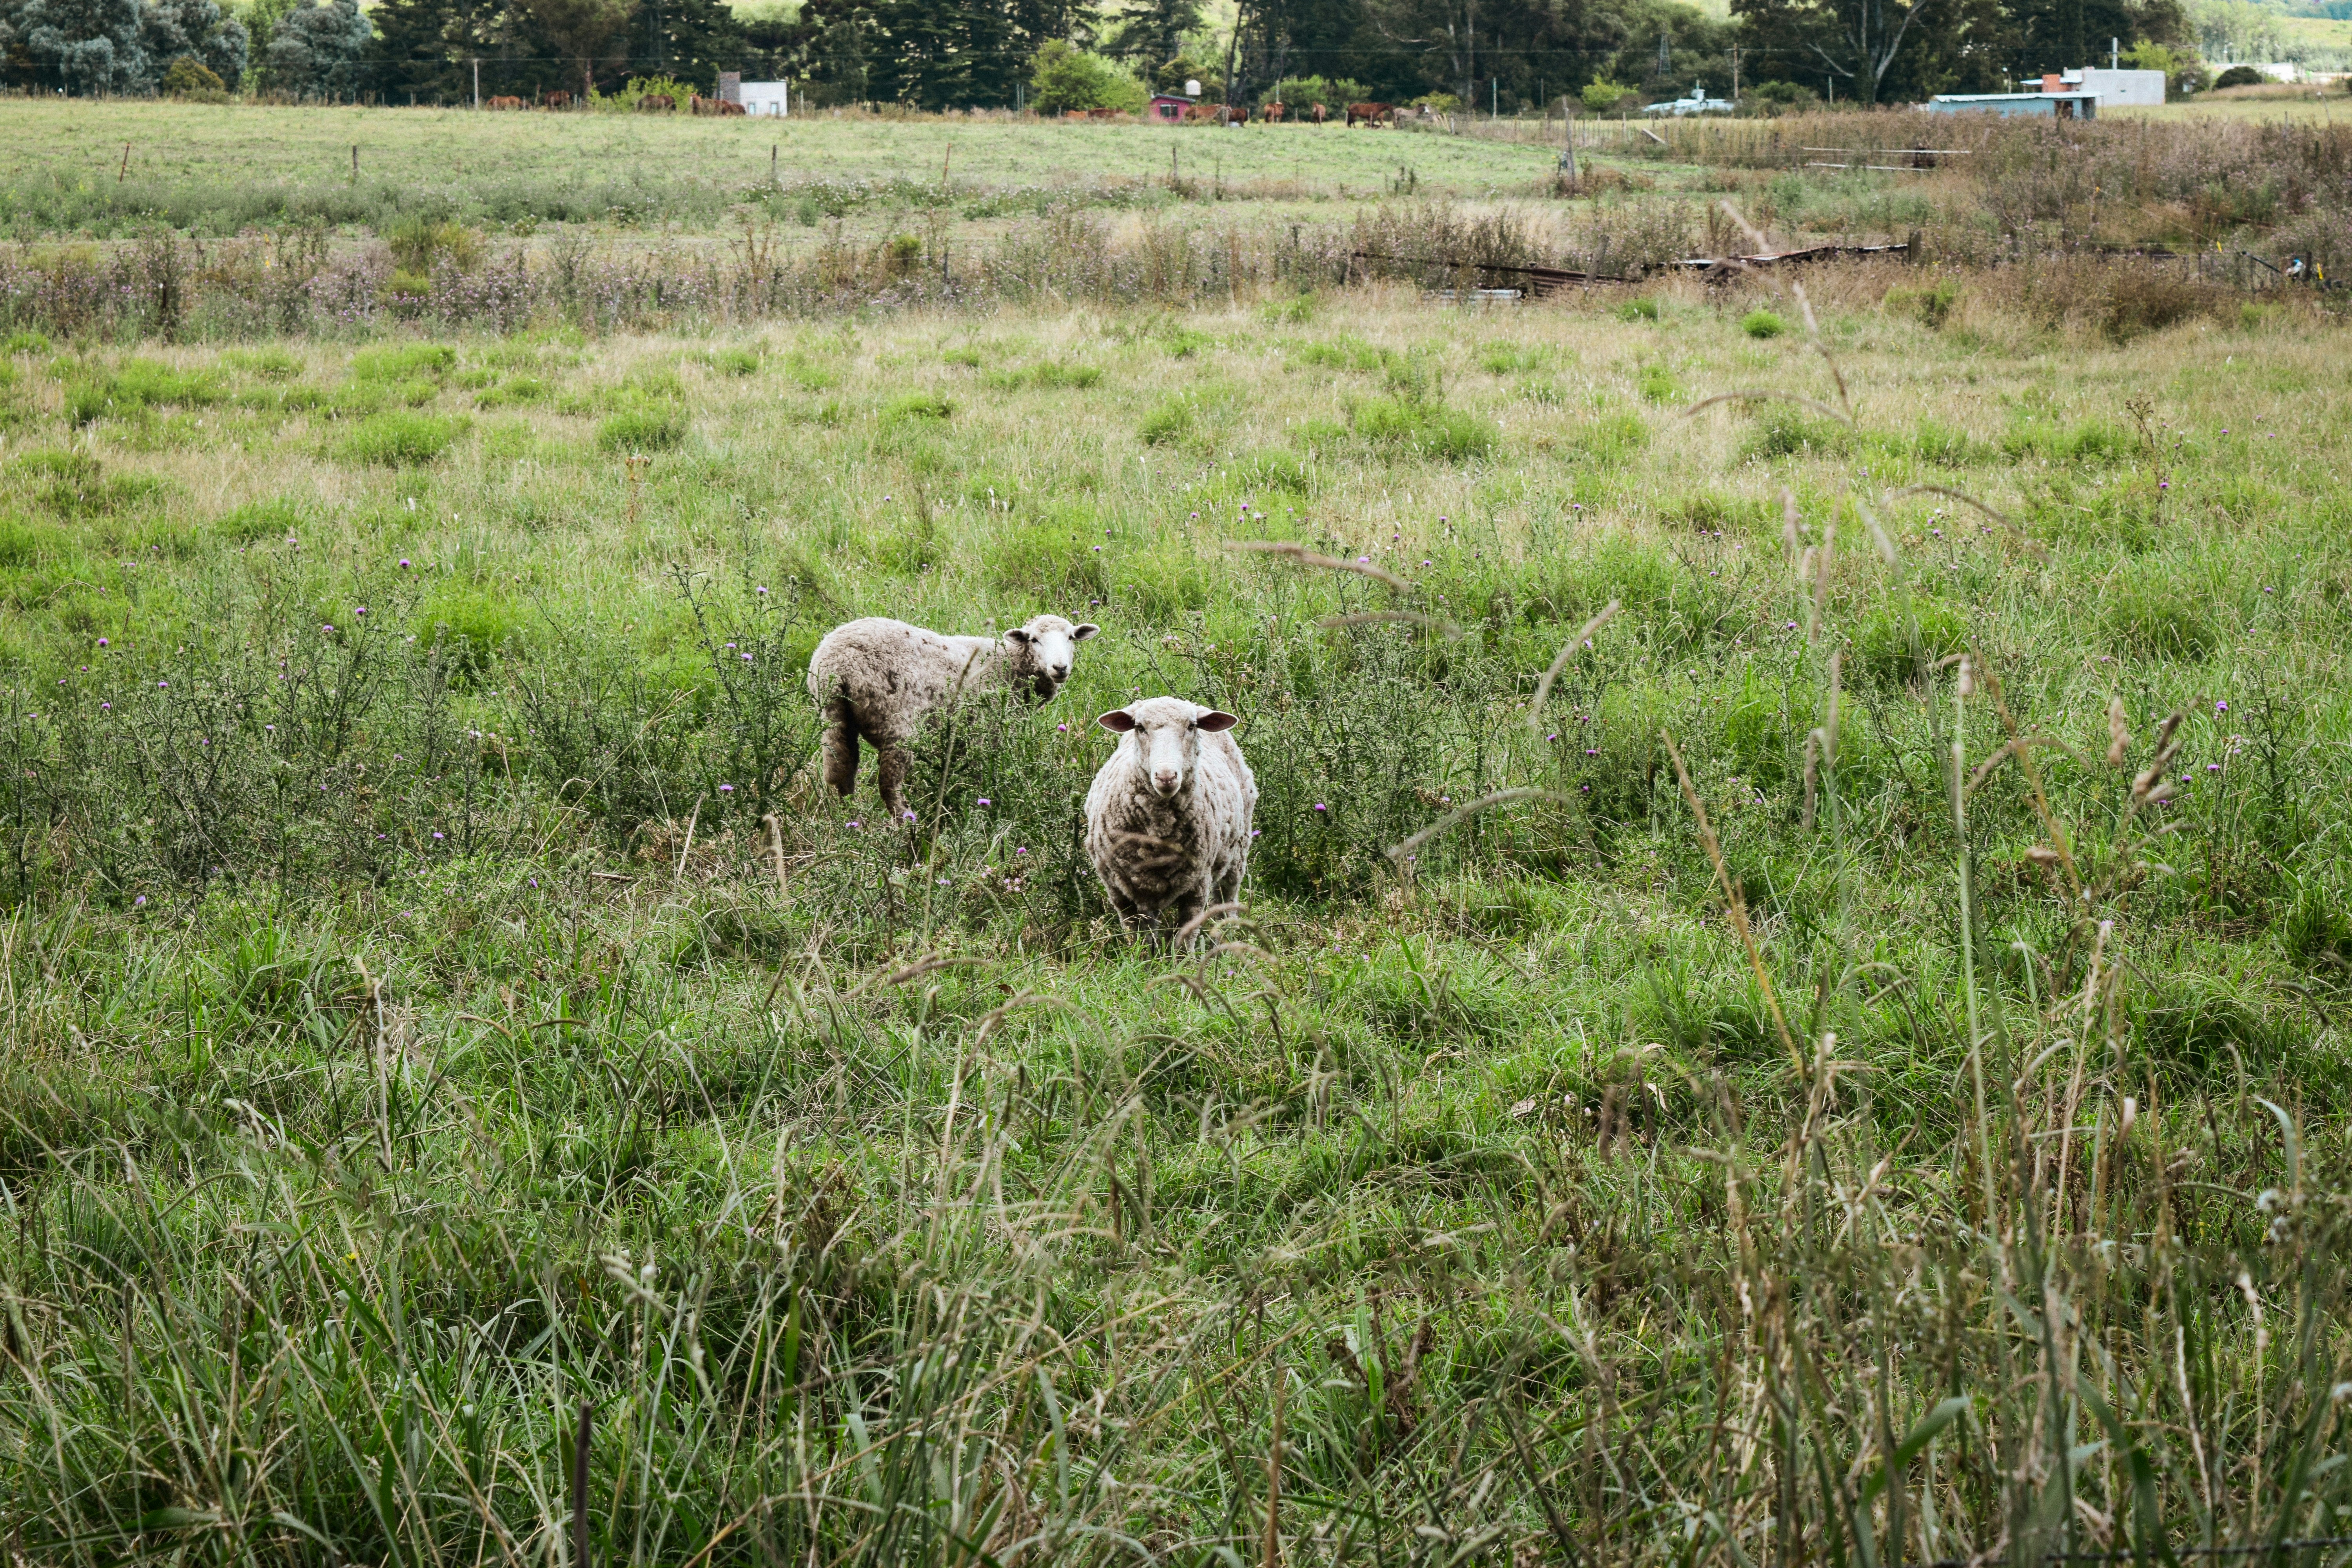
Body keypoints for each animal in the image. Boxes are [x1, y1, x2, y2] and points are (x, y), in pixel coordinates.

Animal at [806, 613, 1098, 819]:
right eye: (1034, 639)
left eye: (1071, 638)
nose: (1060, 668)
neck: (1011, 665)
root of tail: (834, 663)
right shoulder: (985, 731)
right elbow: (981, 774)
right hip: (898, 724)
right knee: (889, 785)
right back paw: (908, 827)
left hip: (835, 718)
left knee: (841, 775)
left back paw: (853, 825)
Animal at [1084, 697, 1255, 943]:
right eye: (1140, 727)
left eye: (1191, 726)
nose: (1167, 777)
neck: (1160, 830)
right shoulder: (1118, 889)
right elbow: (1138, 937)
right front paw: (1139, 954)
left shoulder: (1198, 885)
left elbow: (1186, 935)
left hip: (1238, 850)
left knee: (1227, 897)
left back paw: (1228, 936)